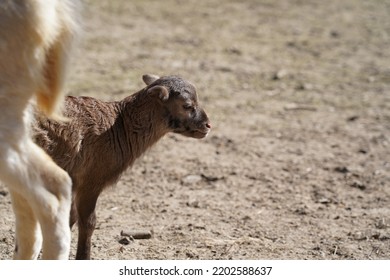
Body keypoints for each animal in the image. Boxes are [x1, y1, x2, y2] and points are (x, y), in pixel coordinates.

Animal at [32, 73, 210, 260]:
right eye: (187, 105)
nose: (207, 125)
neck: (119, 127)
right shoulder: (91, 180)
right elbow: (88, 222)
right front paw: (83, 257)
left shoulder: (73, 179)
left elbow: (69, 218)